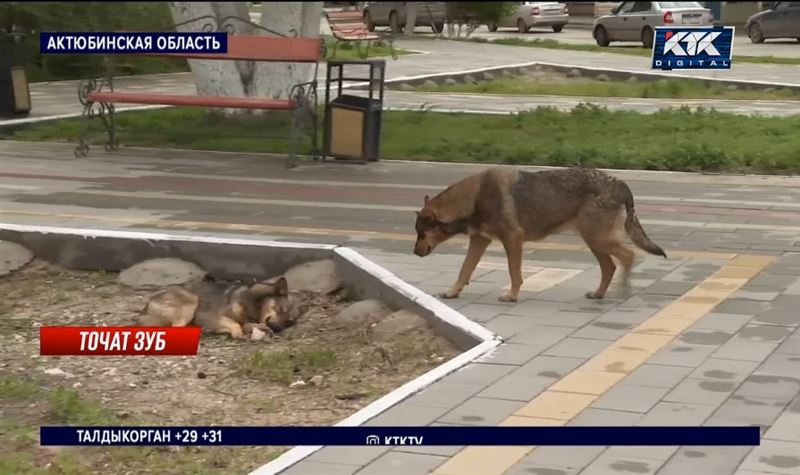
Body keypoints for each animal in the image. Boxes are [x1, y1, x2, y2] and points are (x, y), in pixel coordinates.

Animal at [139, 278, 304, 340]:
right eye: (280, 308)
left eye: (288, 322)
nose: (277, 328)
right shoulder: (210, 316)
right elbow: (235, 324)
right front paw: (239, 333)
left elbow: (247, 324)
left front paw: (260, 328)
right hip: (191, 303)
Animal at [416, 167, 664, 302]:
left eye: (421, 233)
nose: (415, 252)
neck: (474, 197)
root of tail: (621, 183)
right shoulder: (479, 240)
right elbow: (464, 270)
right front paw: (452, 293)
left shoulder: (512, 239)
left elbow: (514, 272)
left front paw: (512, 296)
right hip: (594, 241)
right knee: (610, 266)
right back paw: (599, 294)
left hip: (597, 239)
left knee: (628, 256)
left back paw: (624, 290)